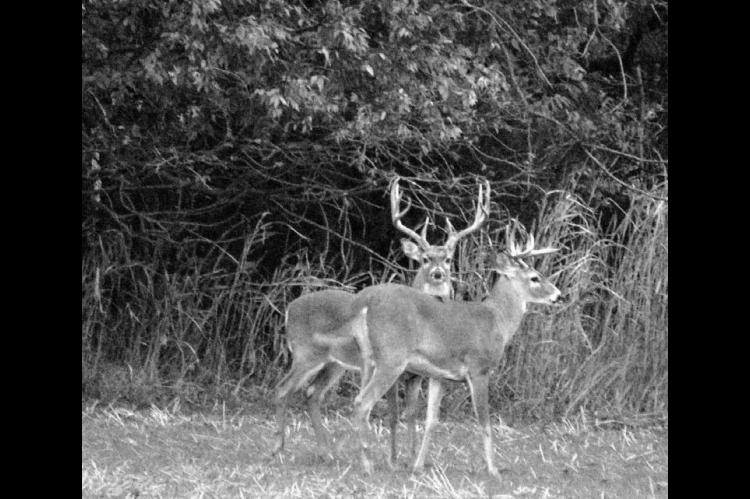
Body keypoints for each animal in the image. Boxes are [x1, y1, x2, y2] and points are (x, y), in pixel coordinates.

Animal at [271, 177, 490, 465]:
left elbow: (412, 414)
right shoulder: (395, 368)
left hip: (334, 364)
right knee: (283, 389)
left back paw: (327, 452)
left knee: (312, 394)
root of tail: (289, 309)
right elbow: (394, 414)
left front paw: (411, 457)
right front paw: (394, 459)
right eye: (424, 259)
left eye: (448, 259)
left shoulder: (415, 374)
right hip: (305, 353)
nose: (438, 274)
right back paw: (279, 449)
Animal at [349, 222, 561, 476]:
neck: (496, 320)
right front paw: (493, 470)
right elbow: (484, 421)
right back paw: (367, 465)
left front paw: (418, 466)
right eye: (534, 278)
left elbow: (431, 420)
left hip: (367, 358)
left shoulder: (439, 375)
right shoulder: (479, 368)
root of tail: (363, 302)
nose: (558, 295)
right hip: (391, 358)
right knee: (362, 402)